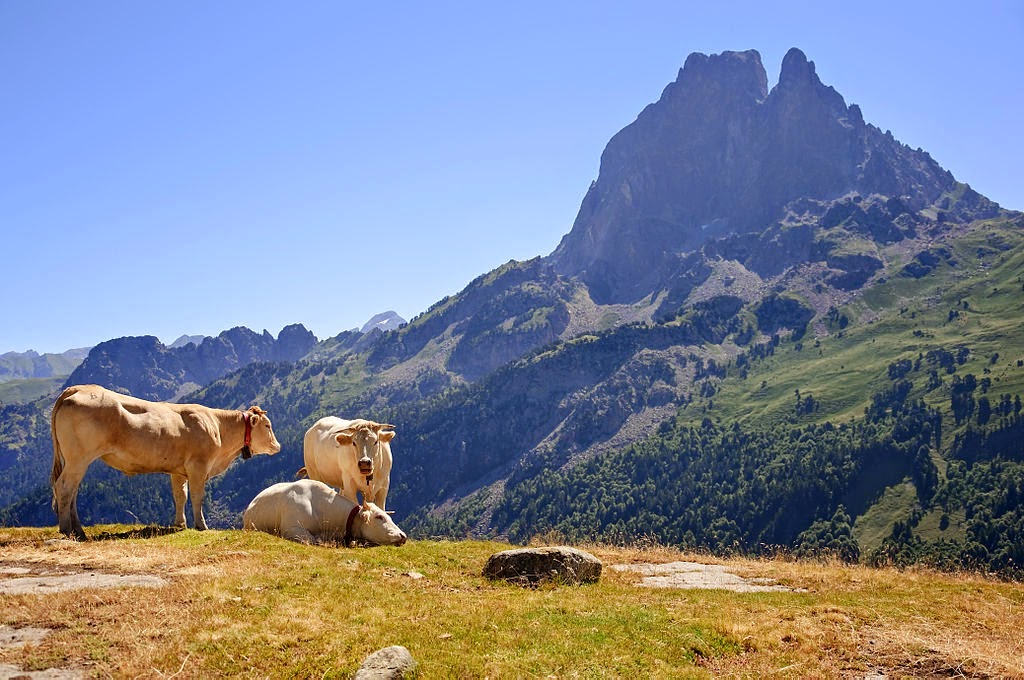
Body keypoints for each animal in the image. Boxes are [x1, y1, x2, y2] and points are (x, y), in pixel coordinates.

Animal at [50, 385, 282, 540]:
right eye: (268, 426)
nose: (278, 446)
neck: (217, 426)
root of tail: (76, 389)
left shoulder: (178, 470)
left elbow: (180, 495)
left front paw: (180, 524)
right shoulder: (198, 466)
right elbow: (197, 496)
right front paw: (201, 525)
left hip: (76, 460)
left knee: (72, 491)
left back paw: (78, 530)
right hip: (78, 457)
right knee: (64, 487)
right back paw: (66, 530)